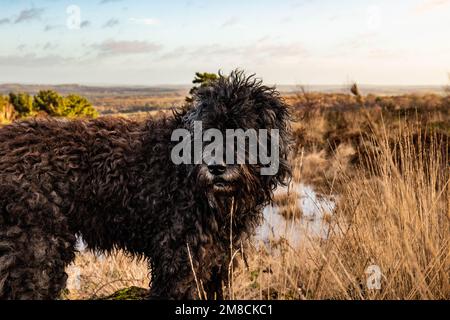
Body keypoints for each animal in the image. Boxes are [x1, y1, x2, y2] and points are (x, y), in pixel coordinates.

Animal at [0, 71, 290, 298]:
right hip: (36, 253)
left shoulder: (218, 257)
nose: (216, 167)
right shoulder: (181, 258)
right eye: (207, 130)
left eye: (243, 130)